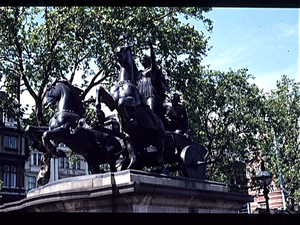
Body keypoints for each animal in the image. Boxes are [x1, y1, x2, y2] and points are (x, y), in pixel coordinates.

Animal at [97, 44, 170, 174]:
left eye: (125, 47)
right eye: (118, 47)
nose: (116, 51)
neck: (124, 82)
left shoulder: (135, 102)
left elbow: (122, 102)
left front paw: (131, 120)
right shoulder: (112, 102)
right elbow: (99, 89)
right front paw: (99, 113)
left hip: (159, 138)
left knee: (160, 157)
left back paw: (164, 172)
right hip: (131, 139)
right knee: (135, 157)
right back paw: (128, 169)